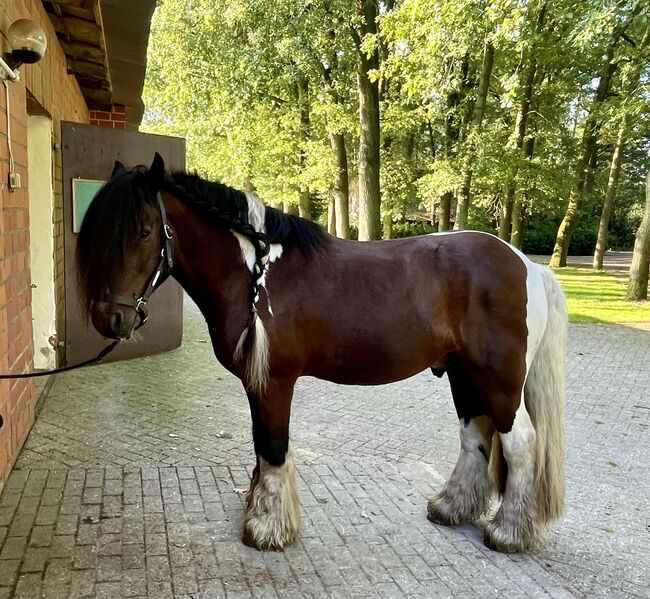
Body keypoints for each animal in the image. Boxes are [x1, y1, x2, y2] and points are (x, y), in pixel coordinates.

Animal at [74, 154, 560, 552]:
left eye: (143, 231)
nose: (108, 319)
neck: (256, 276)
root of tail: (526, 264)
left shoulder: (274, 381)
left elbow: (272, 447)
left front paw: (267, 528)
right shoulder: (258, 383)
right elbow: (261, 447)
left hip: (500, 383)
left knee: (520, 444)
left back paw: (508, 533)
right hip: (465, 375)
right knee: (475, 437)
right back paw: (451, 508)